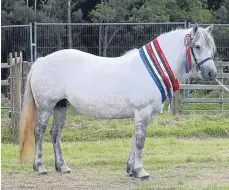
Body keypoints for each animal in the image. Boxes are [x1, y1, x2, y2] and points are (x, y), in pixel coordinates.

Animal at [19, 23, 216, 179]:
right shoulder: (142, 111)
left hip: (61, 106)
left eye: (212, 48)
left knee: (55, 133)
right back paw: (40, 167)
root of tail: (41, 60)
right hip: (46, 107)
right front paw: (140, 171)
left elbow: (135, 139)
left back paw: (62, 167)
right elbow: (140, 141)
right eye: (197, 46)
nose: (211, 73)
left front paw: (131, 169)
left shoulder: (142, 115)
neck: (151, 69)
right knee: (39, 132)